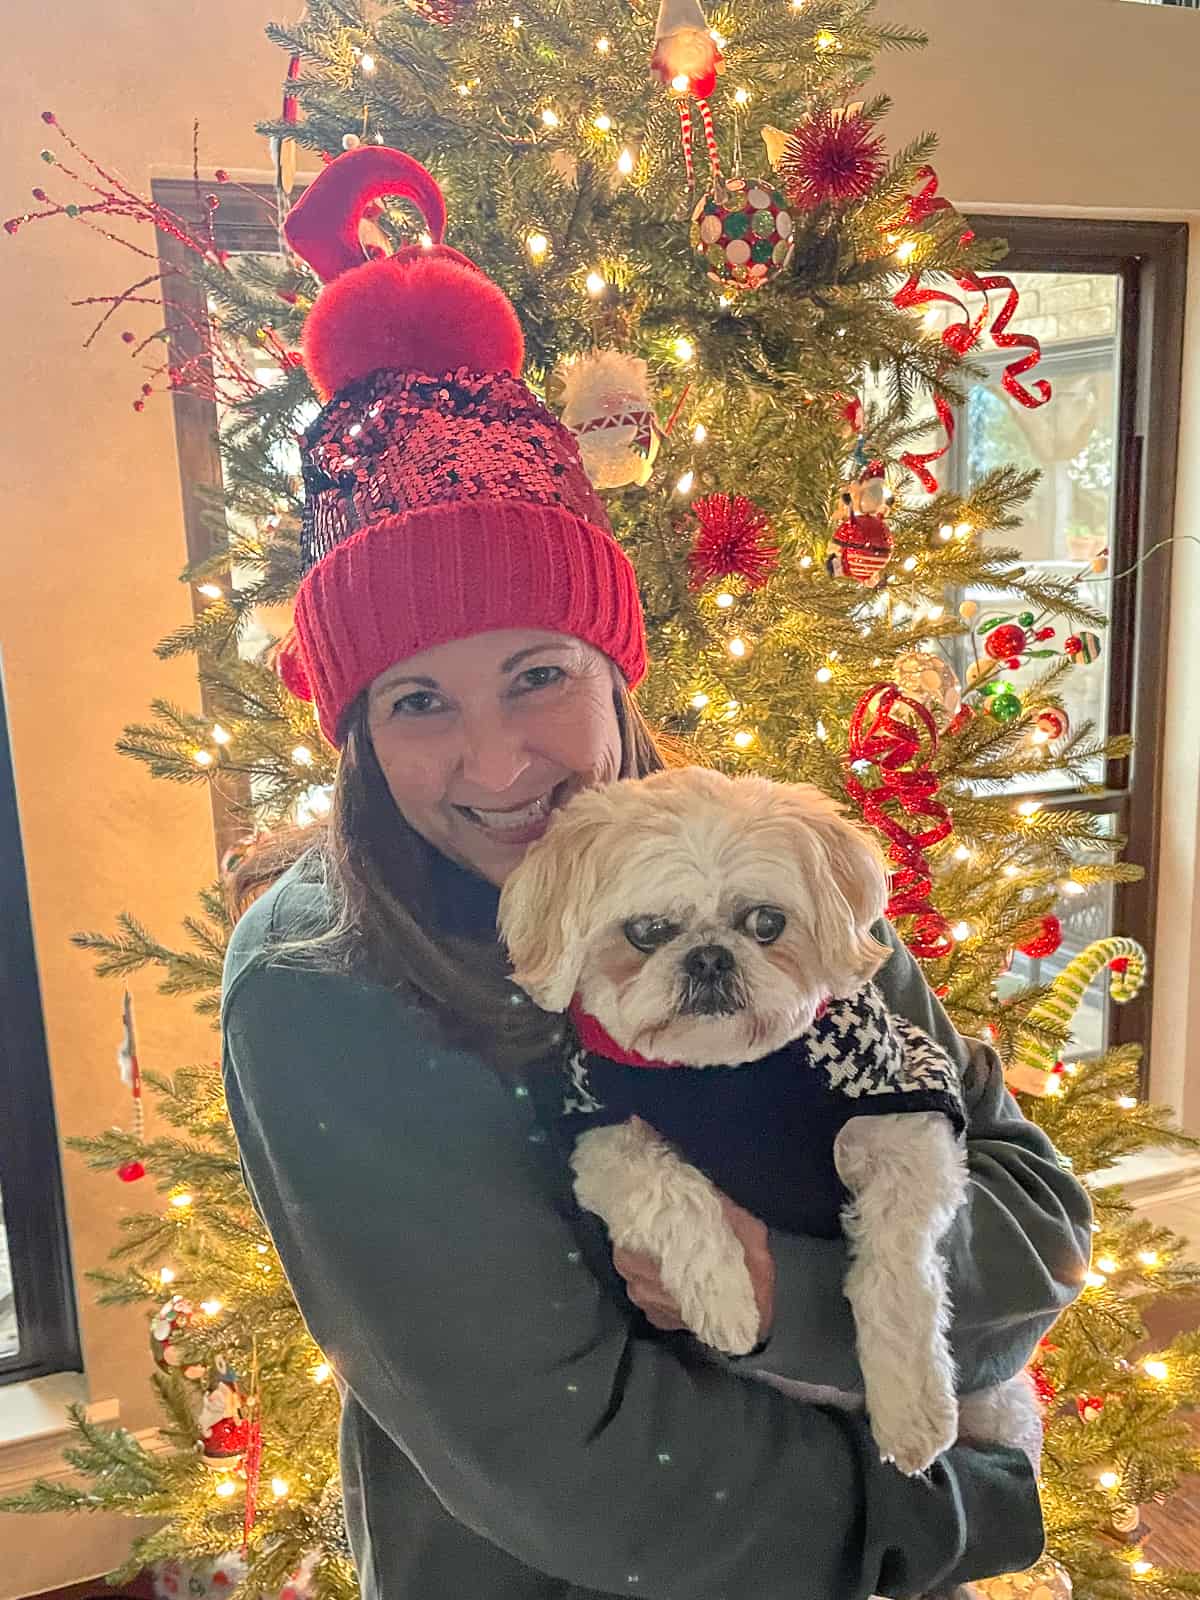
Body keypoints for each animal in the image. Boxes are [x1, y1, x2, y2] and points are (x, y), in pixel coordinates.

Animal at [499, 764, 1043, 1484]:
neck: (727, 1074)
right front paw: (726, 1301)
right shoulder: (603, 1135)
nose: (709, 958)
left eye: (766, 922)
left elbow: (896, 1270)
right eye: (646, 931)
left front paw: (912, 1410)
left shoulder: (906, 1117)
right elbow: (669, 1190)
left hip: (1004, 1405)